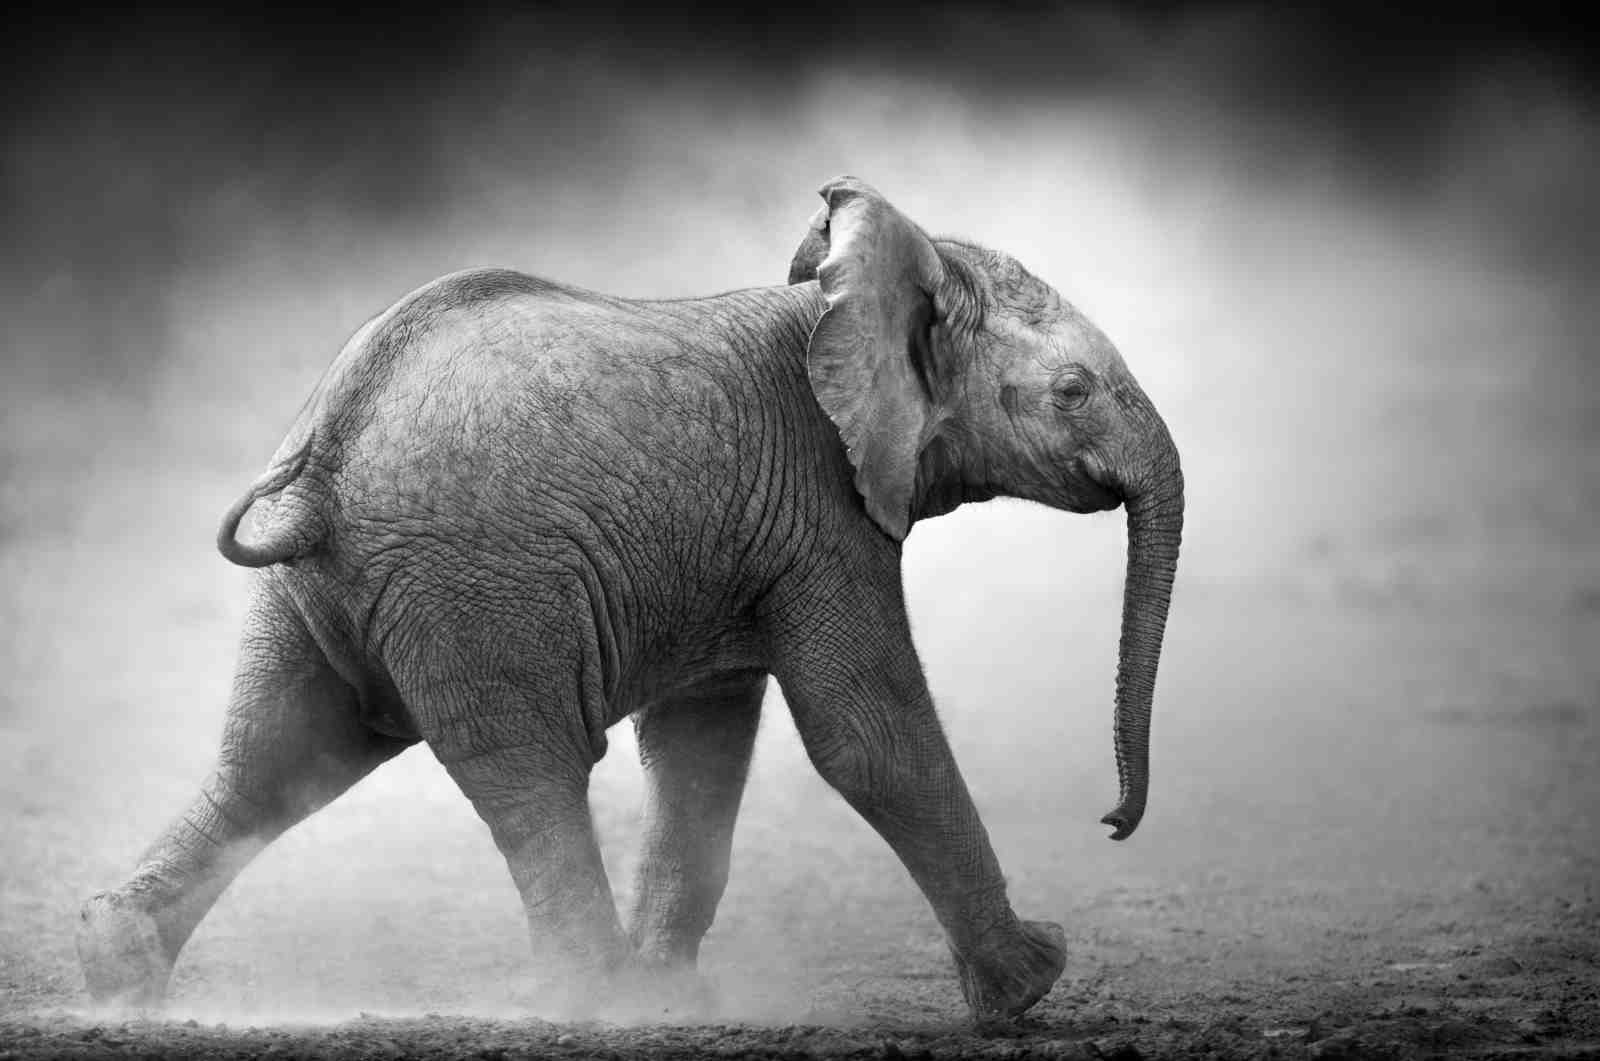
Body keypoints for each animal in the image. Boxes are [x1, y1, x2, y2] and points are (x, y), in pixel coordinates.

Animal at [76, 176, 1183, 1023]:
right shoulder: (826, 511)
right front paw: (1033, 980)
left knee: (280, 758)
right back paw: (590, 996)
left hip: (324, 592)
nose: (1113, 822)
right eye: (1074, 392)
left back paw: (114, 972)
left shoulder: (746, 539)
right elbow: (868, 733)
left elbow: (702, 742)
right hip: (479, 585)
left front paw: (672, 997)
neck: (846, 296)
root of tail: (325, 452)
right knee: (530, 772)